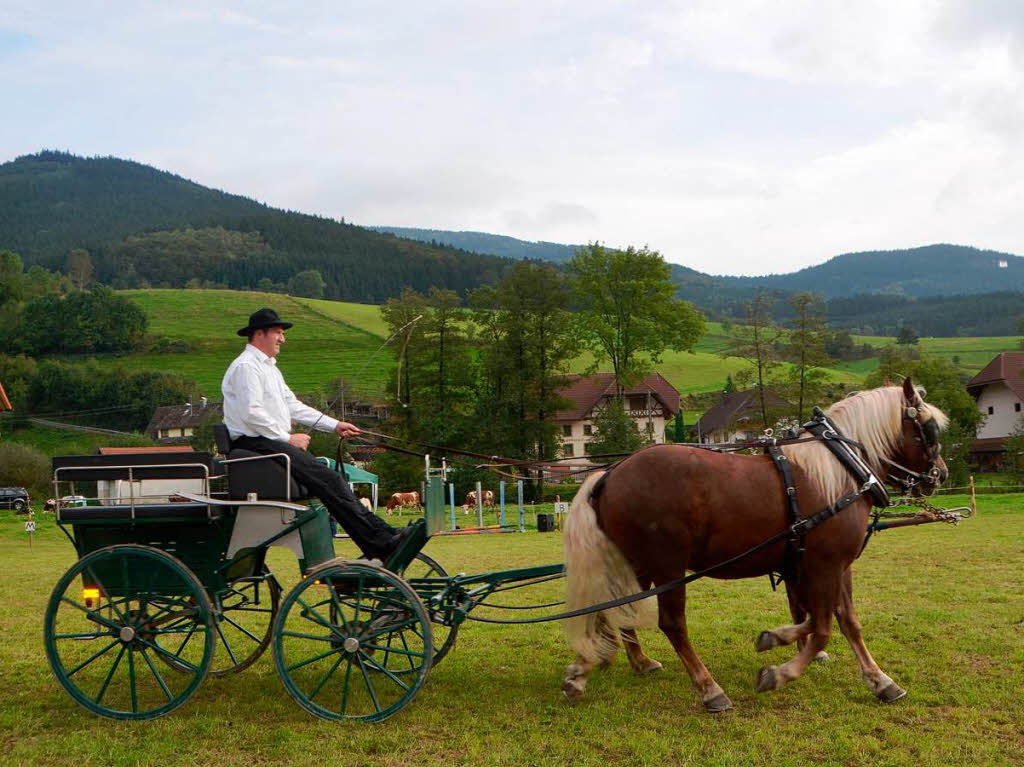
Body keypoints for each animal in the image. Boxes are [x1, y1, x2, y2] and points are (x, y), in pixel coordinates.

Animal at [565, 378, 946, 712]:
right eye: (929, 431)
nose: (939, 474)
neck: (841, 471)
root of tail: (610, 472)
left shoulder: (833, 566)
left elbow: (844, 621)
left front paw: (879, 680)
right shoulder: (824, 564)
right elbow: (823, 626)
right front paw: (781, 673)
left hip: (637, 564)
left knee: (615, 609)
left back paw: (601, 668)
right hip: (666, 566)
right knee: (671, 623)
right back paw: (709, 689)